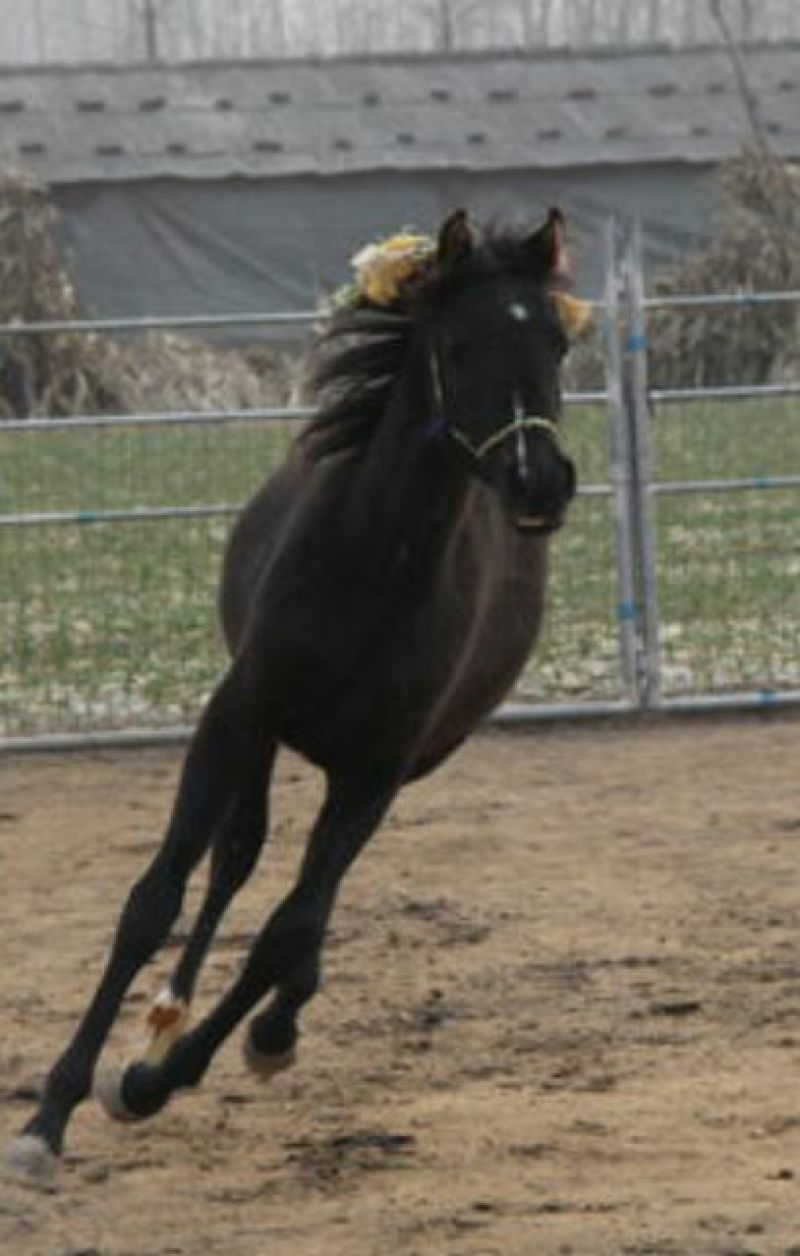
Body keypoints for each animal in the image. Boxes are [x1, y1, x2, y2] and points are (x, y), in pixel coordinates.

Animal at [8, 207, 587, 1181]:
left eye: (557, 341)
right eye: (459, 344)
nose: (539, 481)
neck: (373, 567)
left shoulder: (378, 769)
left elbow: (288, 934)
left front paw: (156, 1079)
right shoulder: (238, 713)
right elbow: (156, 900)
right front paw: (48, 1115)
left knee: (300, 920)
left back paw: (230, 1037)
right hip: (265, 741)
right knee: (233, 861)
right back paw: (165, 1012)